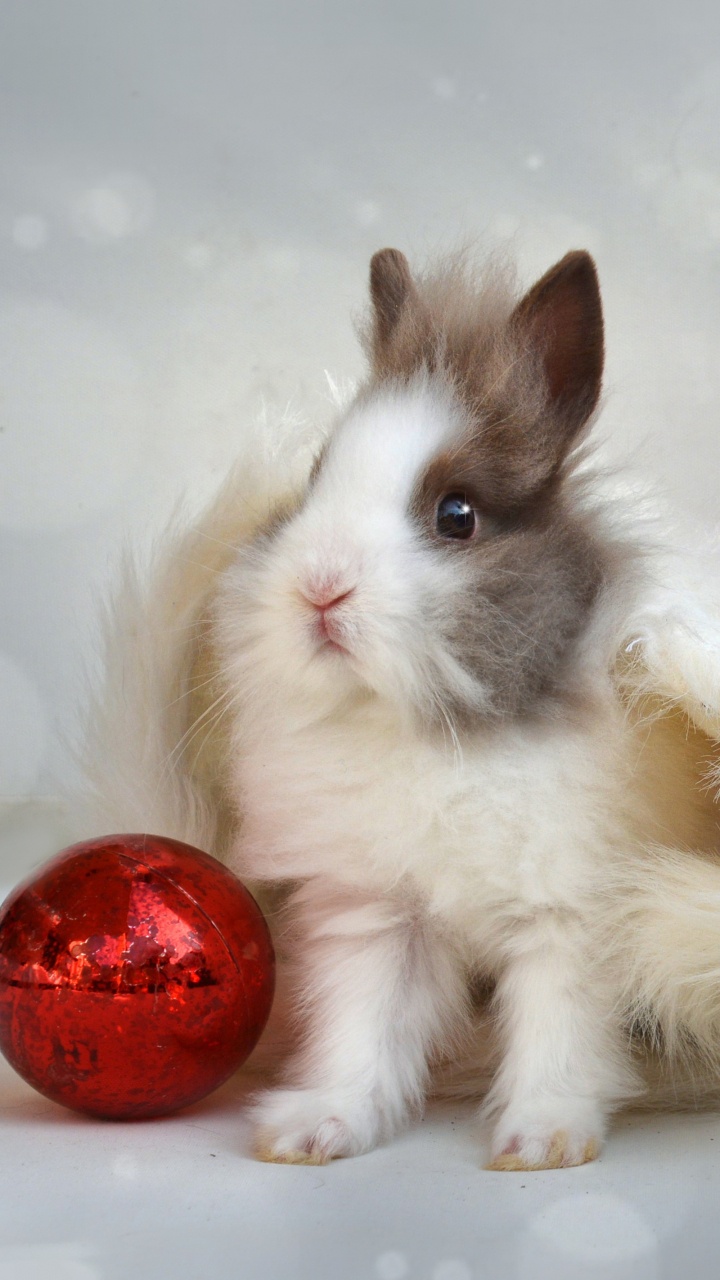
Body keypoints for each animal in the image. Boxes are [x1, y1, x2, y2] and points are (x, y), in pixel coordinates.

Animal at [83, 244, 720, 1171]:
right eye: (313, 482)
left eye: (457, 515)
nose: (318, 588)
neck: (433, 732)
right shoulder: (380, 915)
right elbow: (365, 1029)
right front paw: (316, 1129)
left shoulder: (572, 916)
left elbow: (559, 1034)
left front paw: (541, 1140)